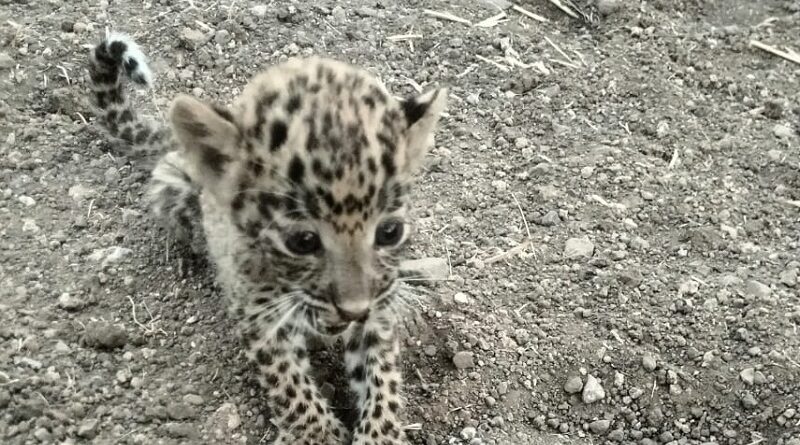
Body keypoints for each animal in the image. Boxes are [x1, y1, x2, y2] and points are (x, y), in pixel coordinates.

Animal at [88, 32, 446, 445]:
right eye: (303, 241)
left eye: (390, 232)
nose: (353, 310)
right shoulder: (259, 315)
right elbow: (290, 387)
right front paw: (319, 434)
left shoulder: (379, 306)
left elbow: (382, 379)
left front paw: (378, 434)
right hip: (172, 186)